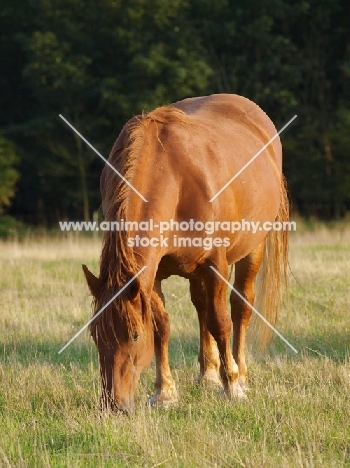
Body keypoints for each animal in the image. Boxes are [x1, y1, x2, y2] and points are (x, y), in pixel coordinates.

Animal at [83, 93, 288, 412]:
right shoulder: (152, 273)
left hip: (252, 250)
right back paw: (208, 376)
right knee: (201, 307)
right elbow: (162, 327)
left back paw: (240, 376)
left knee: (240, 307)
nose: (112, 405)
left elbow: (221, 322)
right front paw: (165, 392)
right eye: (95, 335)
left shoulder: (216, 265)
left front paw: (232, 388)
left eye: (134, 335)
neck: (173, 178)